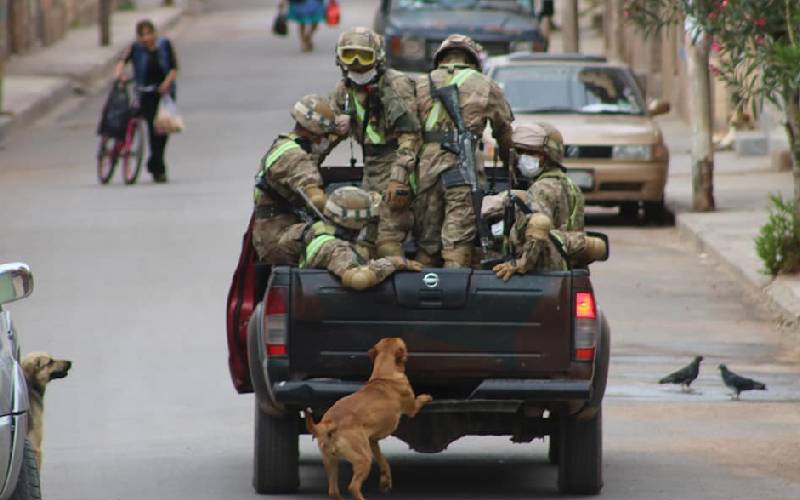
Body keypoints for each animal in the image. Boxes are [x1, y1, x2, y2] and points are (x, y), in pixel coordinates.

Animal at [304, 338, 432, 498]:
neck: (384, 373)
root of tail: (331, 422)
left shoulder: (372, 441)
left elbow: (383, 460)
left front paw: (385, 480)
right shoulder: (412, 408)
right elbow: (418, 401)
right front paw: (427, 397)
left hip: (331, 461)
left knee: (333, 491)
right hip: (363, 460)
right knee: (353, 487)